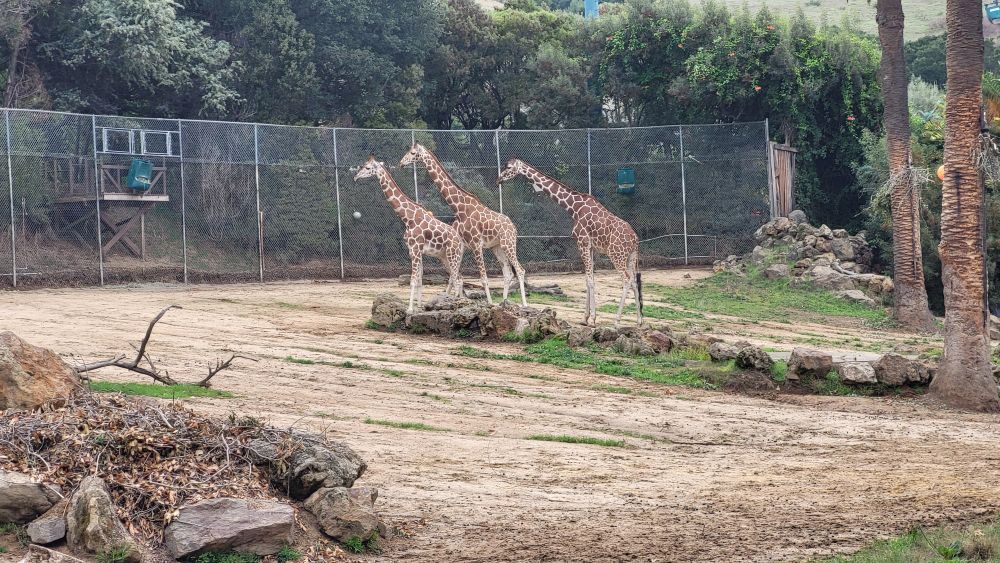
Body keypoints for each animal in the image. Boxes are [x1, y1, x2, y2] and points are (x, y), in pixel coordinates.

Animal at [354, 156, 464, 313]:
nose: (356, 177)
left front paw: (410, 309)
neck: (408, 218)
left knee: (457, 279)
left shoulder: (416, 248)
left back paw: (456, 305)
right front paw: (419, 307)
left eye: (368, 168)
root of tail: (460, 242)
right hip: (445, 257)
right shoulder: (412, 251)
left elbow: (412, 280)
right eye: (363, 165)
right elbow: (418, 280)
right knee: (458, 278)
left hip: (452, 254)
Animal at [400, 143, 528, 306]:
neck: (459, 208)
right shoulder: (461, 246)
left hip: (508, 243)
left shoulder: (476, 244)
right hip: (497, 247)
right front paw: (450, 300)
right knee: (508, 273)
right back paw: (504, 302)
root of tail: (514, 227)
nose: (401, 163)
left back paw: (523, 304)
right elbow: (453, 278)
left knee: (520, 270)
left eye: (412, 152)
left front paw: (488, 303)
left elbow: (483, 278)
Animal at [498, 158, 643, 326]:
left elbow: (590, 280)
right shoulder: (590, 247)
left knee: (626, 279)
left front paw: (592, 319)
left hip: (616, 254)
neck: (574, 208)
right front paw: (585, 317)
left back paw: (617, 320)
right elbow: (589, 279)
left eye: (508, 167)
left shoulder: (582, 242)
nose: (499, 179)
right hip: (631, 256)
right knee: (634, 280)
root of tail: (635, 239)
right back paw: (639, 320)